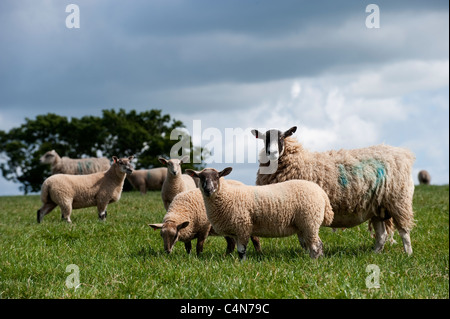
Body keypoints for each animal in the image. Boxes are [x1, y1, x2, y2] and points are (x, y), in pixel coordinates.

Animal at [185, 168, 336, 260]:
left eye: (217, 176)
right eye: (200, 177)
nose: (208, 189)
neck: (228, 195)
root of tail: (321, 192)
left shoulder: (243, 226)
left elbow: (241, 250)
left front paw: (242, 263)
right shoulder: (237, 230)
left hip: (310, 220)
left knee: (316, 244)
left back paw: (315, 261)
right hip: (303, 224)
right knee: (312, 244)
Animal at [251, 126, 416, 256]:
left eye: (282, 137)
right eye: (265, 138)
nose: (272, 153)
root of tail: (403, 155)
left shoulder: (302, 208)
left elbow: (304, 238)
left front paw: (307, 254)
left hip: (398, 201)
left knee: (404, 231)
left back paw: (408, 254)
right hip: (377, 207)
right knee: (382, 236)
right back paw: (374, 254)